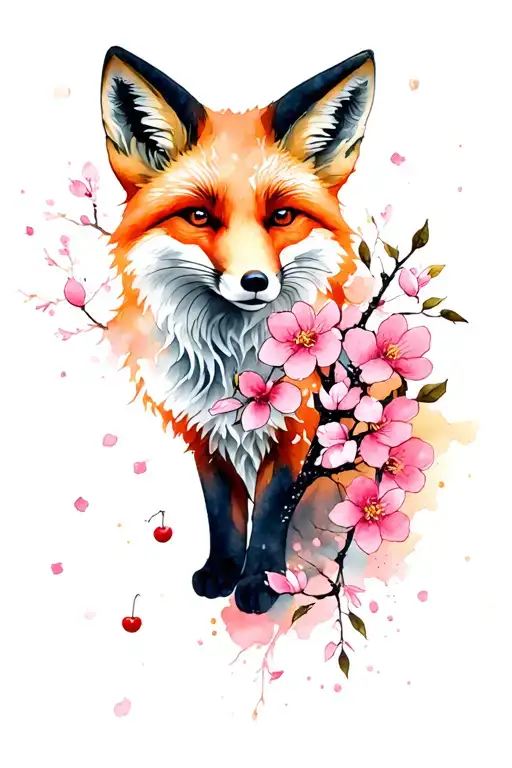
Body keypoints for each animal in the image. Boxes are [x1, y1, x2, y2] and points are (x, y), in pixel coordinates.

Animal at [100, 46, 376, 614]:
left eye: (283, 216)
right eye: (200, 216)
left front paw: (258, 584)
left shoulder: (301, 429)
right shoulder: (202, 430)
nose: (254, 282)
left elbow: (270, 512)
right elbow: (222, 510)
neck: (233, 360)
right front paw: (222, 571)